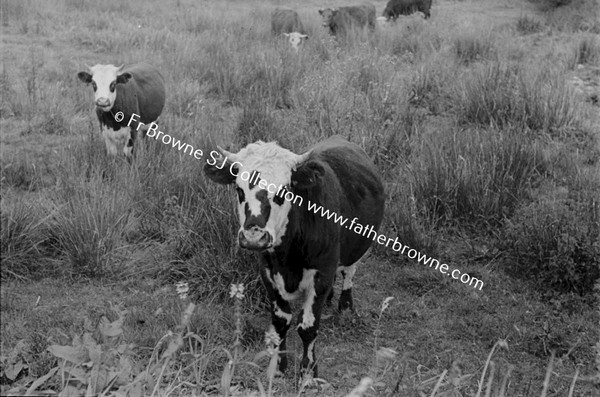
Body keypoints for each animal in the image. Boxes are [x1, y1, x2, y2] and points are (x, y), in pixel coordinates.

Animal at [204, 135, 386, 378]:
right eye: (239, 190)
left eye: (283, 191)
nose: (254, 236)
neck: (287, 256)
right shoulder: (268, 274)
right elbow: (281, 321)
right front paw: (278, 366)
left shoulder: (322, 274)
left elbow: (308, 327)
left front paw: (308, 371)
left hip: (359, 246)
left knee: (349, 272)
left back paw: (345, 306)